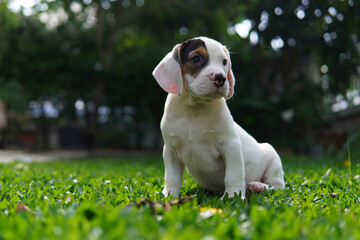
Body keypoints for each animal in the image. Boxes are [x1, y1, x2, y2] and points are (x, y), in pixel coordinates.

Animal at [152, 37, 284, 199]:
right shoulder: (171, 151)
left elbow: (233, 175)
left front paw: (233, 196)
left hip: (273, 159)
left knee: (278, 186)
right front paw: (169, 195)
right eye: (196, 58)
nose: (220, 77)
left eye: (224, 62)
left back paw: (258, 186)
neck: (194, 109)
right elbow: (172, 177)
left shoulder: (231, 146)